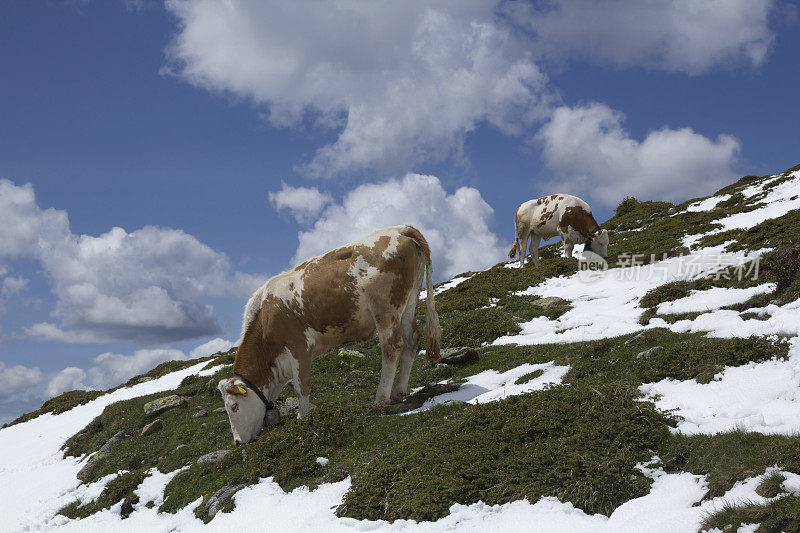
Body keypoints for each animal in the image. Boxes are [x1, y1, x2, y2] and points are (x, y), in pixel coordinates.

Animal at [216, 224, 440, 444]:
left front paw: (303, 417)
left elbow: (301, 386)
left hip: (386, 309)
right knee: (412, 340)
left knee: (392, 348)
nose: (237, 442)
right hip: (409, 303)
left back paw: (381, 399)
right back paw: (398, 392)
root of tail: (399, 228)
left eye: (234, 406)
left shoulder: (299, 347)